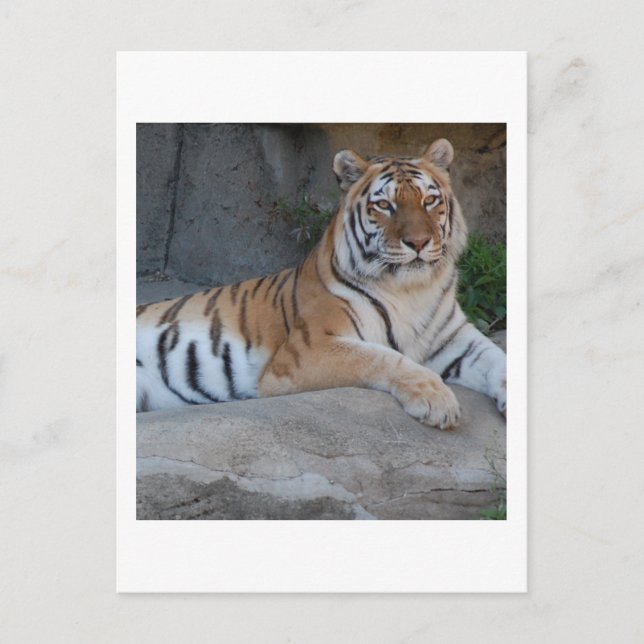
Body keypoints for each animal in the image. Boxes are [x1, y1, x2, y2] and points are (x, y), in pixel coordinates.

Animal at [136, 139, 507, 429]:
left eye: (429, 201)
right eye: (384, 205)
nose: (417, 242)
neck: (412, 290)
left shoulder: (456, 339)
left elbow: (499, 359)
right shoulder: (308, 349)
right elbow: (384, 358)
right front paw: (437, 401)